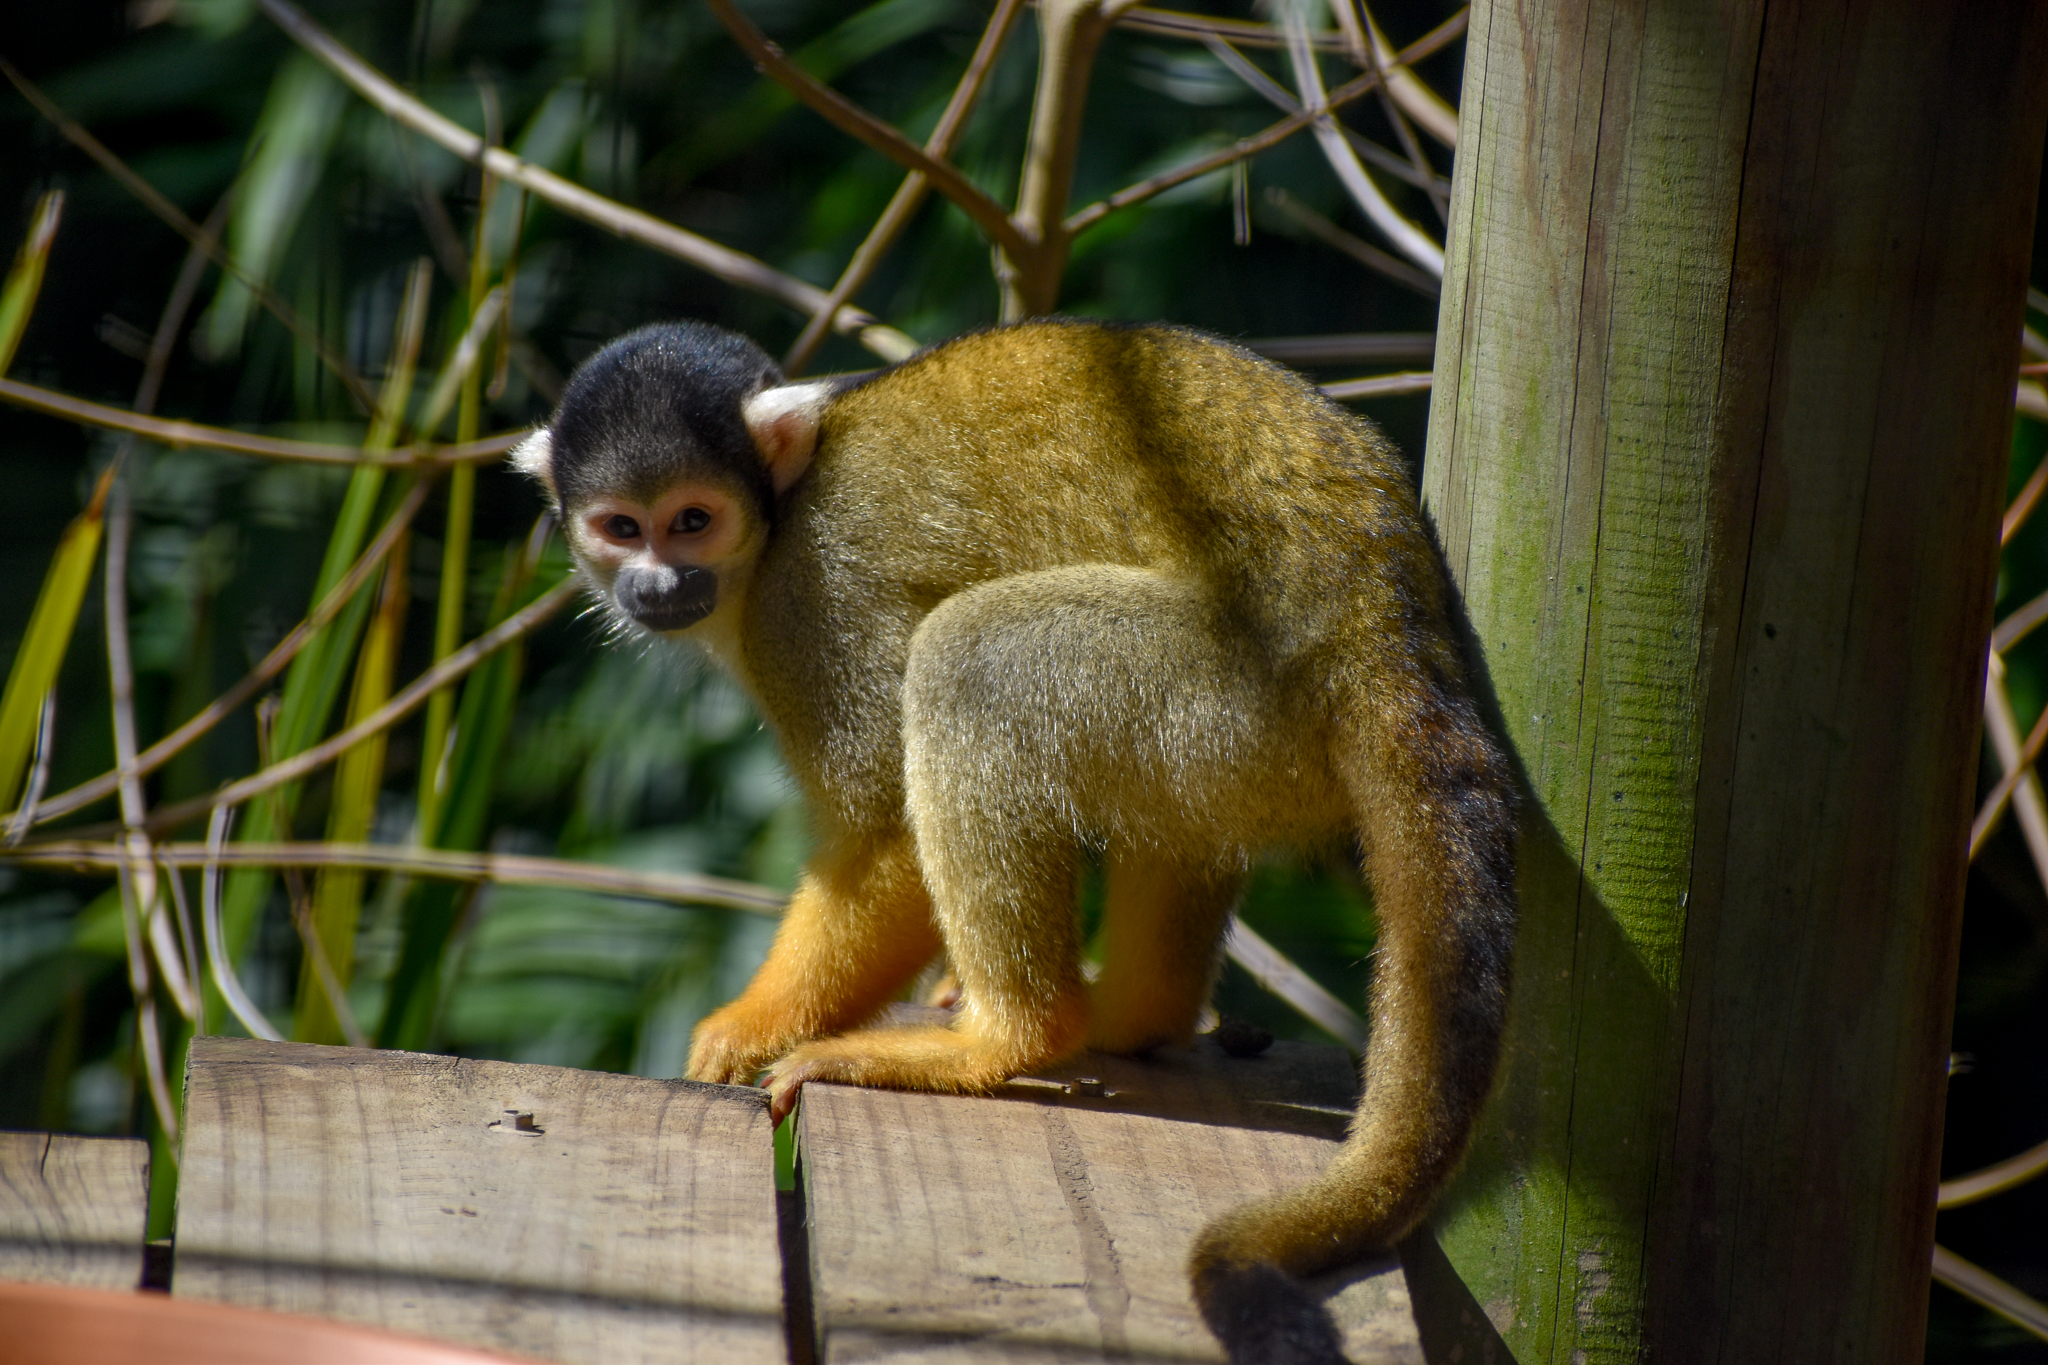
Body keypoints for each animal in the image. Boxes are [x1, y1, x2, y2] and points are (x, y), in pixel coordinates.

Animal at [511, 317, 1517, 1363]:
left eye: (693, 521)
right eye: (622, 527)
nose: (658, 582)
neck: (778, 520)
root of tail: (1380, 620)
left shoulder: (811, 601)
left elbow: (885, 830)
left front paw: (746, 1028)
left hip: (1239, 683)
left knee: (972, 655)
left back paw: (1008, 1036)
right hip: (1247, 742)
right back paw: (1134, 1017)